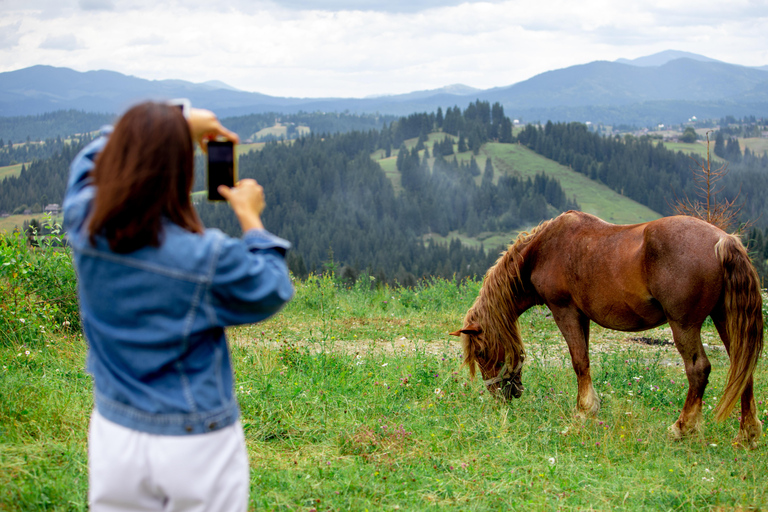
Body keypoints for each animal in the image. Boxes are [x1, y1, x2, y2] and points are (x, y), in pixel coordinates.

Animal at [450, 210, 760, 446]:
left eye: (481, 353)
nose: (502, 396)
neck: (542, 251)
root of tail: (724, 241)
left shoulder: (565, 311)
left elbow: (579, 361)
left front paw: (583, 412)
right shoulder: (582, 316)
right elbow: (584, 360)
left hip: (684, 324)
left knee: (699, 370)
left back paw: (682, 428)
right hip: (725, 318)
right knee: (742, 368)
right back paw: (747, 434)